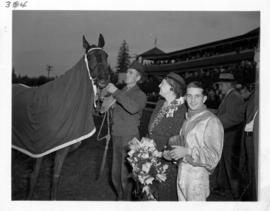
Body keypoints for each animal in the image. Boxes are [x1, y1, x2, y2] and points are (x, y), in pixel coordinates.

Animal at [11, 33, 109, 199]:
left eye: (106, 55)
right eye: (89, 57)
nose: (103, 80)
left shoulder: (60, 148)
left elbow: (55, 178)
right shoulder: (39, 148)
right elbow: (35, 176)